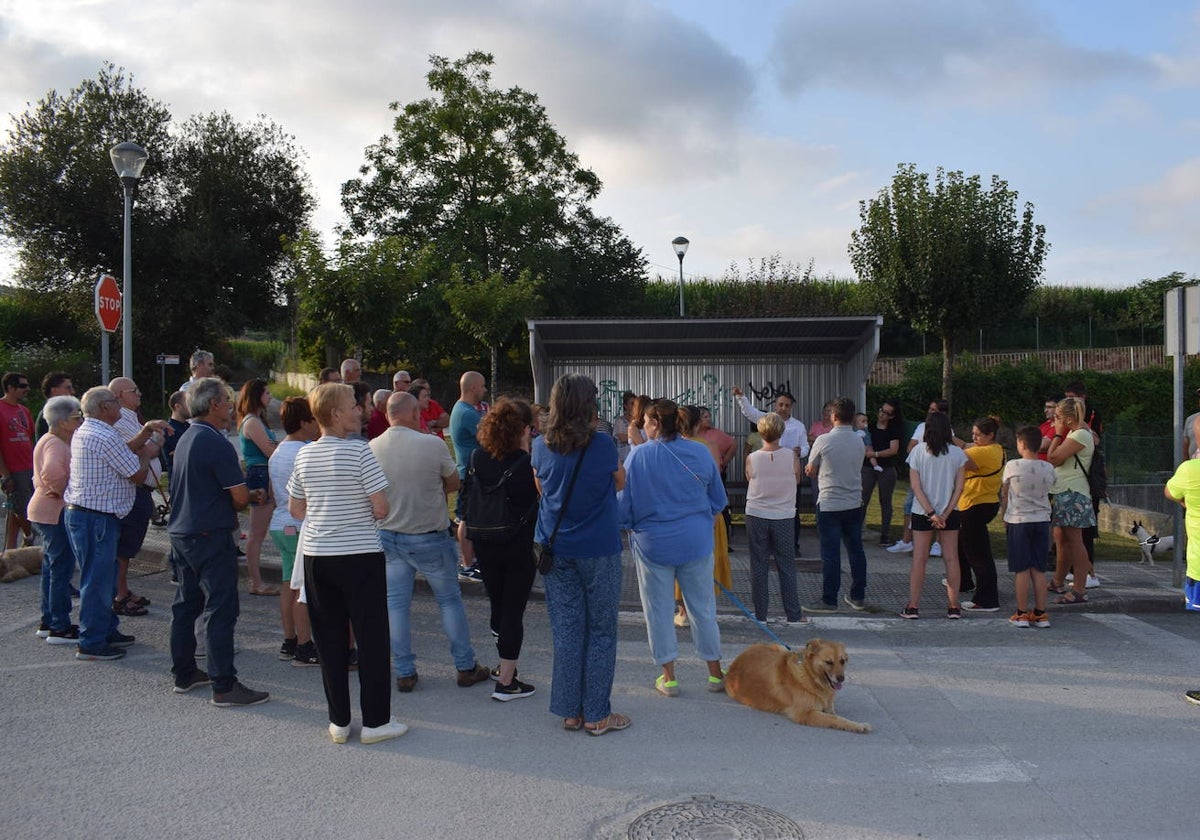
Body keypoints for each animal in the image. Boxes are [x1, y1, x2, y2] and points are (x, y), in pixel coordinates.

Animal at [720, 638, 873, 729]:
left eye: (842, 661)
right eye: (828, 662)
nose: (841, 679)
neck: (810, 676)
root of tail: (734, 664)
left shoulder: (827, 707)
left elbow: (834, 715)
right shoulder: (805, 714)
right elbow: (836, 719)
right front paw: (859, 726)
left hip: (781, 649)